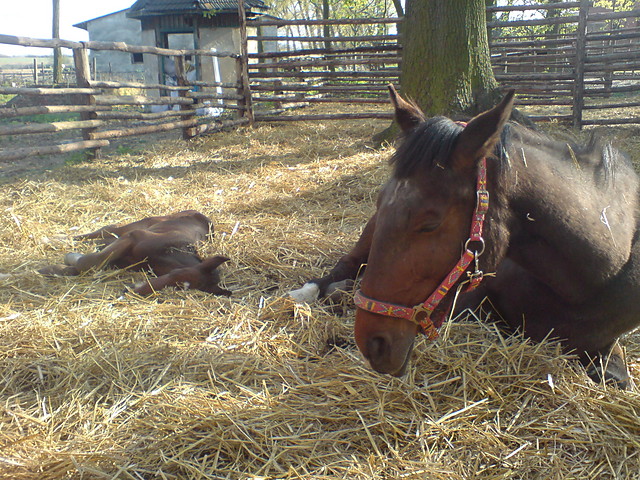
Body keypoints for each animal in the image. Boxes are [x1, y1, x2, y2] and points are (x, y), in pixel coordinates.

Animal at [39, 210, 230, 296]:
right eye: (174, 275)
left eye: (176, 288)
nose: (131, 290)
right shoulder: (134, 237)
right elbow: (90, 263)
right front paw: (67, 259)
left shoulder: (124, 260)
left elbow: (92, 264)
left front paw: (54, 269)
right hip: (138, 225)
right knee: (104, 231)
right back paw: (56, 239)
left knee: (101, 240)